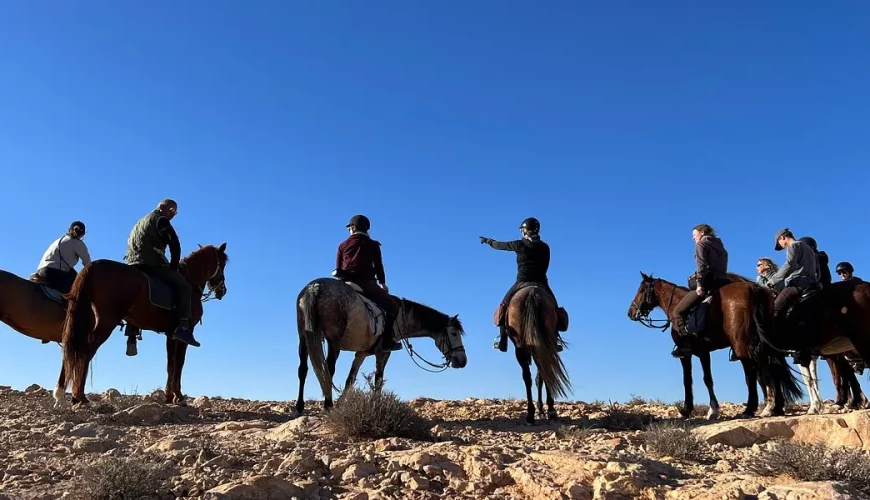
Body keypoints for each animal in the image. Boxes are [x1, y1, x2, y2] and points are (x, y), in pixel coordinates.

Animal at [52, 243, 227, 410]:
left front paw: (169, 396)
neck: (190, 283)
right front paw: (179, 396)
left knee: (72, 350)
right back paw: (79, 397)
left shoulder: (171, 335)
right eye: (223, 263)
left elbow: (170, 364)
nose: (222, 290)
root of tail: (93, 267)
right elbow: (179, 363)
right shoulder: (185, 333)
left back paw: (61, 395)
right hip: (105, 324)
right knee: (85, 351)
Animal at [294, 278, 470, 414]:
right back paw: (328, 405)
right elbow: (378, 381)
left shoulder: (361, 353)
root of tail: (315, 287)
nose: (462, 361)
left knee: (303, 369)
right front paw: (376, 405)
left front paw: (342, 404)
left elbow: (350, 379)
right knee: (328, 370)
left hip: (303, 338)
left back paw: (300, 406)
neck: (401, 318)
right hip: (333, 342)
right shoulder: (383, 353)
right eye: (454, 334)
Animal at [504, 286, 572, 426]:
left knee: (528, 377)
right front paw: (545, 410)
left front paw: (541, 410)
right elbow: (541, 377)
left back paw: (531, 415)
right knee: (541, 375)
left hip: (523, 349)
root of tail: (531, 292)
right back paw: (546, 412)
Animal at [628, 274, 804, 418]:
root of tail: (753, 289)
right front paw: (713, 409)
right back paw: (776, 407)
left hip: (742, 344)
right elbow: (708, 379)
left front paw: (687, 409)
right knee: (772, 367)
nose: (630, 312)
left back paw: (752, 409)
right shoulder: (703, 352)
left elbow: (688, 380)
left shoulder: (686, 354)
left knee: (752, 372)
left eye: (642, 289)